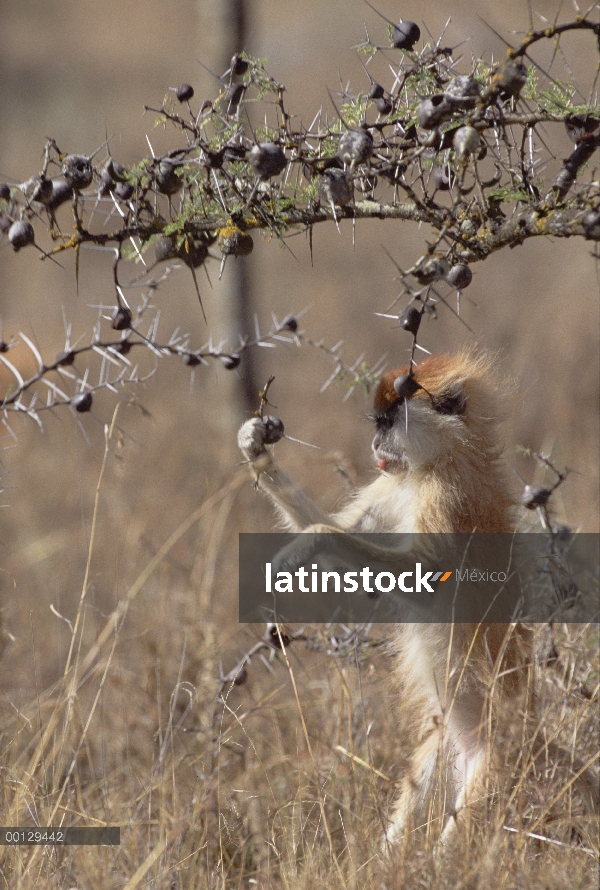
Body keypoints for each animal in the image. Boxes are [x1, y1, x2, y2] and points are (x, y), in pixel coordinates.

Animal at [237, 350, 528, 844]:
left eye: (388, 422)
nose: (375, 445)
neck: (445, 455)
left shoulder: (447, 495)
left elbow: (427, 579)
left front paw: (313, 540)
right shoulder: (397, 483)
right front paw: (256, 445)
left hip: (496, 756)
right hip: (446, 737)